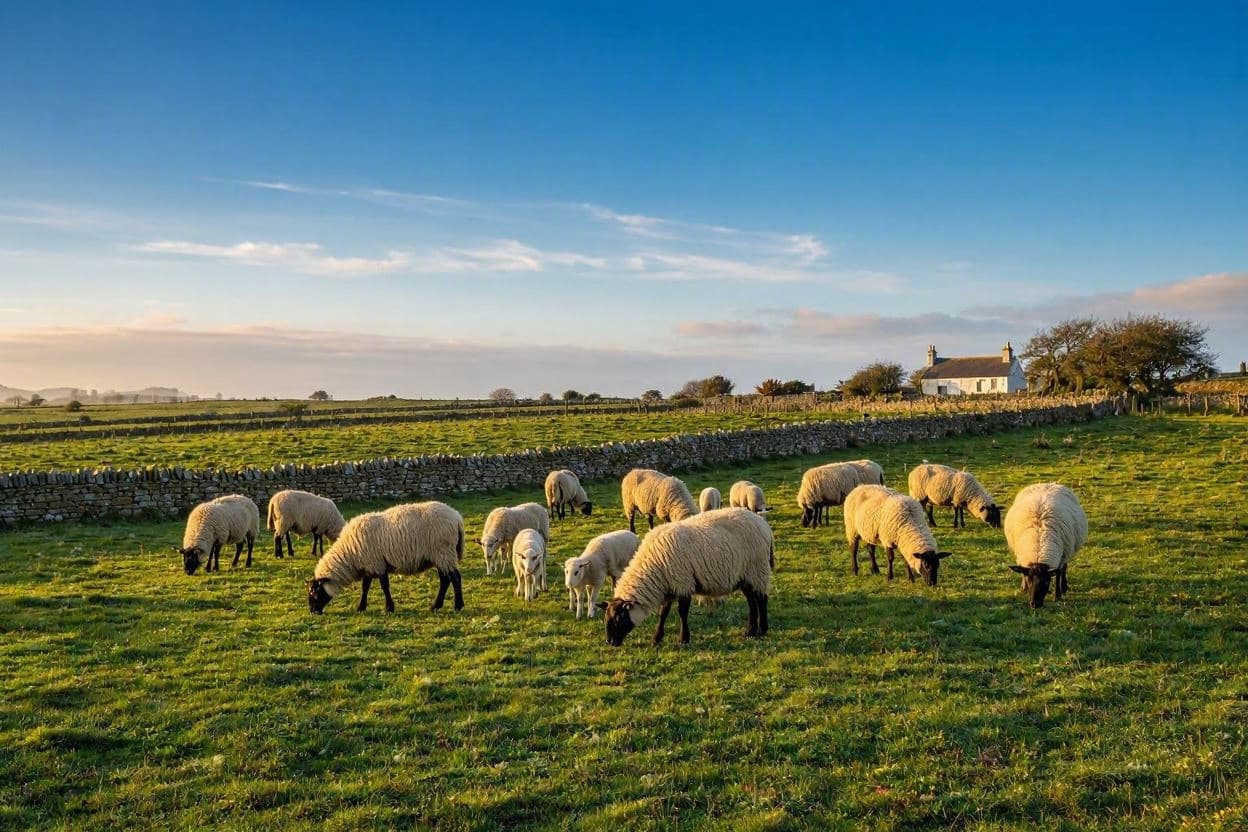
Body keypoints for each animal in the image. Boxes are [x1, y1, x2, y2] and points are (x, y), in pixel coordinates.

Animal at [306, 501, 464, 614]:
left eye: (314, 592)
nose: (313, 611)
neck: (350, 553)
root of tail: (457, 517)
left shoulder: (376, 563)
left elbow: (384, 586)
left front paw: (389, 608)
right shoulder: (369, 565)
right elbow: (366, 586)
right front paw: (361, 607)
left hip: (444, 552)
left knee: (455, 578)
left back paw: (458, 606)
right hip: (441, 556)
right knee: (445, 580)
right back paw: (436, 606)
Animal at [602, 507, 773, 647]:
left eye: (618, 618)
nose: (610, 642)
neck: (654, 566)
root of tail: (763, 524)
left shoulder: (684, 582)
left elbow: (682, 612)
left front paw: (683, 639)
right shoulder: (670, 586)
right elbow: (663, 613)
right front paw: (657, 638)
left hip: (757, 568)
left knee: (762, 599)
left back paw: (762, 630)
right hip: (745, 576)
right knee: (752, 601)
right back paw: (750, 631)